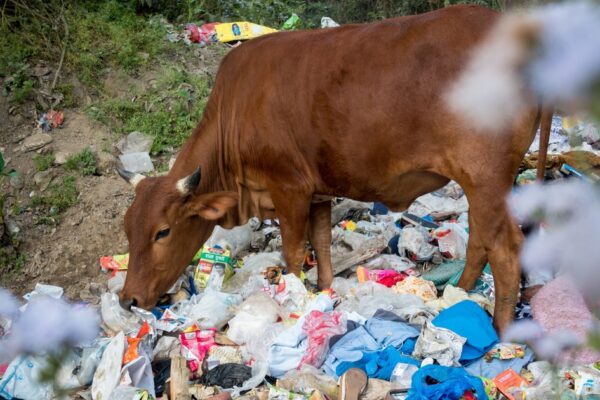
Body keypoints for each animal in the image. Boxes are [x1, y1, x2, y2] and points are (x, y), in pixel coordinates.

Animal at [115, 4, 552, 332]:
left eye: (163, 232)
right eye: (128, 229)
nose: (127, 299)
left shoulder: (289, 188)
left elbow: (294, 252)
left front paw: (294, 302)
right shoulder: (318, 191)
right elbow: (322, 243)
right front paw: (325, 294)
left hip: (485, 177)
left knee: (505, 248)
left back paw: (498, 331)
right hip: (488, 183)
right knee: (481, 238)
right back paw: (458, 295)